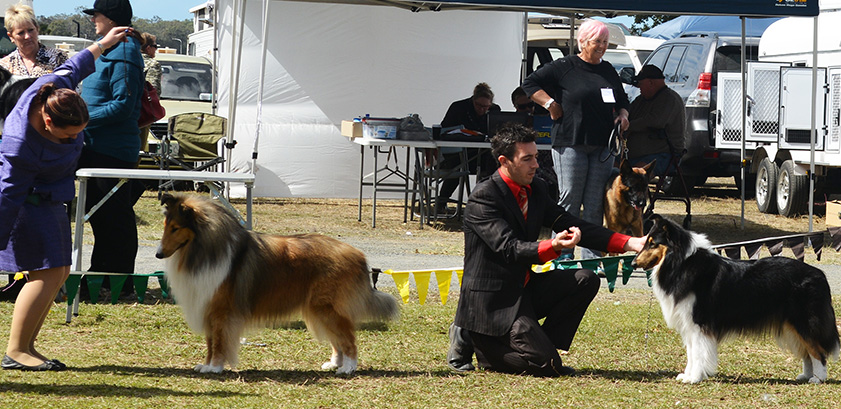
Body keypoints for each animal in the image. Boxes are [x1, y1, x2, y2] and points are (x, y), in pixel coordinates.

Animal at [155, 194, 400, 372]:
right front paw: (206, 365)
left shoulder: (221, 312)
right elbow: (210, 342)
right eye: (166, 225)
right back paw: (334, 363)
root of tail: (358, 254)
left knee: (348, 338)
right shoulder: (207, 306)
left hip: (327, 307)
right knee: (337, 338)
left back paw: (348, 368)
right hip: (318, 310)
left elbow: (219, 342)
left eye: (175, 228)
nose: (158, 254)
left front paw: (215, 368)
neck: (202, 249)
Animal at [632, 214, 836, 382]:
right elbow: (691, 353)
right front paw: (688, 375)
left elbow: (697, 353)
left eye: (653, 243)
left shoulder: (699, 324)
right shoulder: (688, 324)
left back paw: (818, 379)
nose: (633, 263)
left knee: (818, 352)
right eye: (646, 241)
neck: (681, 262)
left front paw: (695, 378)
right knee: (807, 353)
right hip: (792, 326)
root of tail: (820, 274)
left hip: (804, 322)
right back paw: (806, 375)